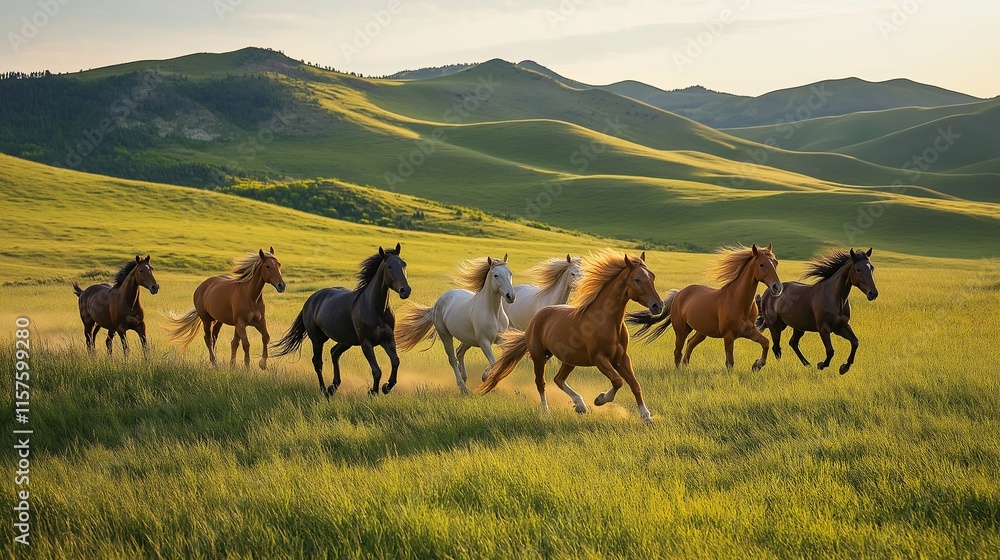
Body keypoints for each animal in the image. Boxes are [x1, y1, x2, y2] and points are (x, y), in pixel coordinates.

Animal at [271, 244, 411, 396]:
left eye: (404, 264)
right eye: (389, 267)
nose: (406, 290)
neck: (376, 309)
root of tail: (311, 300)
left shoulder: (388, 340)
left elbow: (396, 361)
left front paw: (386, 387)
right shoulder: (366, 343)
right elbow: (376, 371)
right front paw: (373, 391)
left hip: (346, 340)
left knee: (334, 353)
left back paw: (334, 386)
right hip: (318, 339)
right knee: (318, 362)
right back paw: (324, 390)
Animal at [395, 254, 515, 393]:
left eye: (510, 273)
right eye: (496, 275)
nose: (511, 296)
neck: (493, 312)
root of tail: (438, 302)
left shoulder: (502, 340)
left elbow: (501, 360)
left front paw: (490, 379)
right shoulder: (484, 342)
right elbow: (494, 361)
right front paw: (485, 377)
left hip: (468, 339)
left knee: (459, 352)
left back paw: (464, 378)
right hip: (445, 335)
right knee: (453, 358)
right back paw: (463, 387)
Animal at [477, 250, 661, 422]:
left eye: (652, 276)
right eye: (637, 279)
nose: (658, 306)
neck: (606, 321)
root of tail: (536, 319)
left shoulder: (621, 358)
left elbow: (634, 384)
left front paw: (646, 416)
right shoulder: (599, 358)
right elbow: (618, 380)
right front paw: (600, 399)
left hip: (569, 359)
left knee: (558, 379)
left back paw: (580, 405)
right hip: (539, 356)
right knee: (541, 382)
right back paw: (547, 411)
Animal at [627, 243, 781, 371]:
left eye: (775, 262)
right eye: (761, 264)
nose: (777, 287)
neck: (739, 302)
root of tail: (679, 294)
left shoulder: (749, 331)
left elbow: (766, 343)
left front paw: (757, 364)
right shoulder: (728, 336)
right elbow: (730, 362)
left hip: (701, 331)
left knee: (690, 344)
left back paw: (685, 367)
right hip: (681, 331)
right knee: (678, 351)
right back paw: (679, 371)